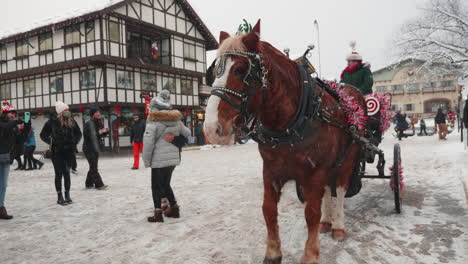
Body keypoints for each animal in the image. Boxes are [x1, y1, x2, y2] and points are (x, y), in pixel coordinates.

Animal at [204, 21, 366, 264]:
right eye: (215, 73)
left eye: (241, 70)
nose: (211, 129)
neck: (289, 124)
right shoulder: (271, 170)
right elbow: (268, 210)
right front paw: (272, 252)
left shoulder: (315, 172)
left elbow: (311, 213)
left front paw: (310, 254)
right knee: (329, 190)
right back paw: (327, 222)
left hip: (348, 157)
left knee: (339, 188)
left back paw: (337, 225)